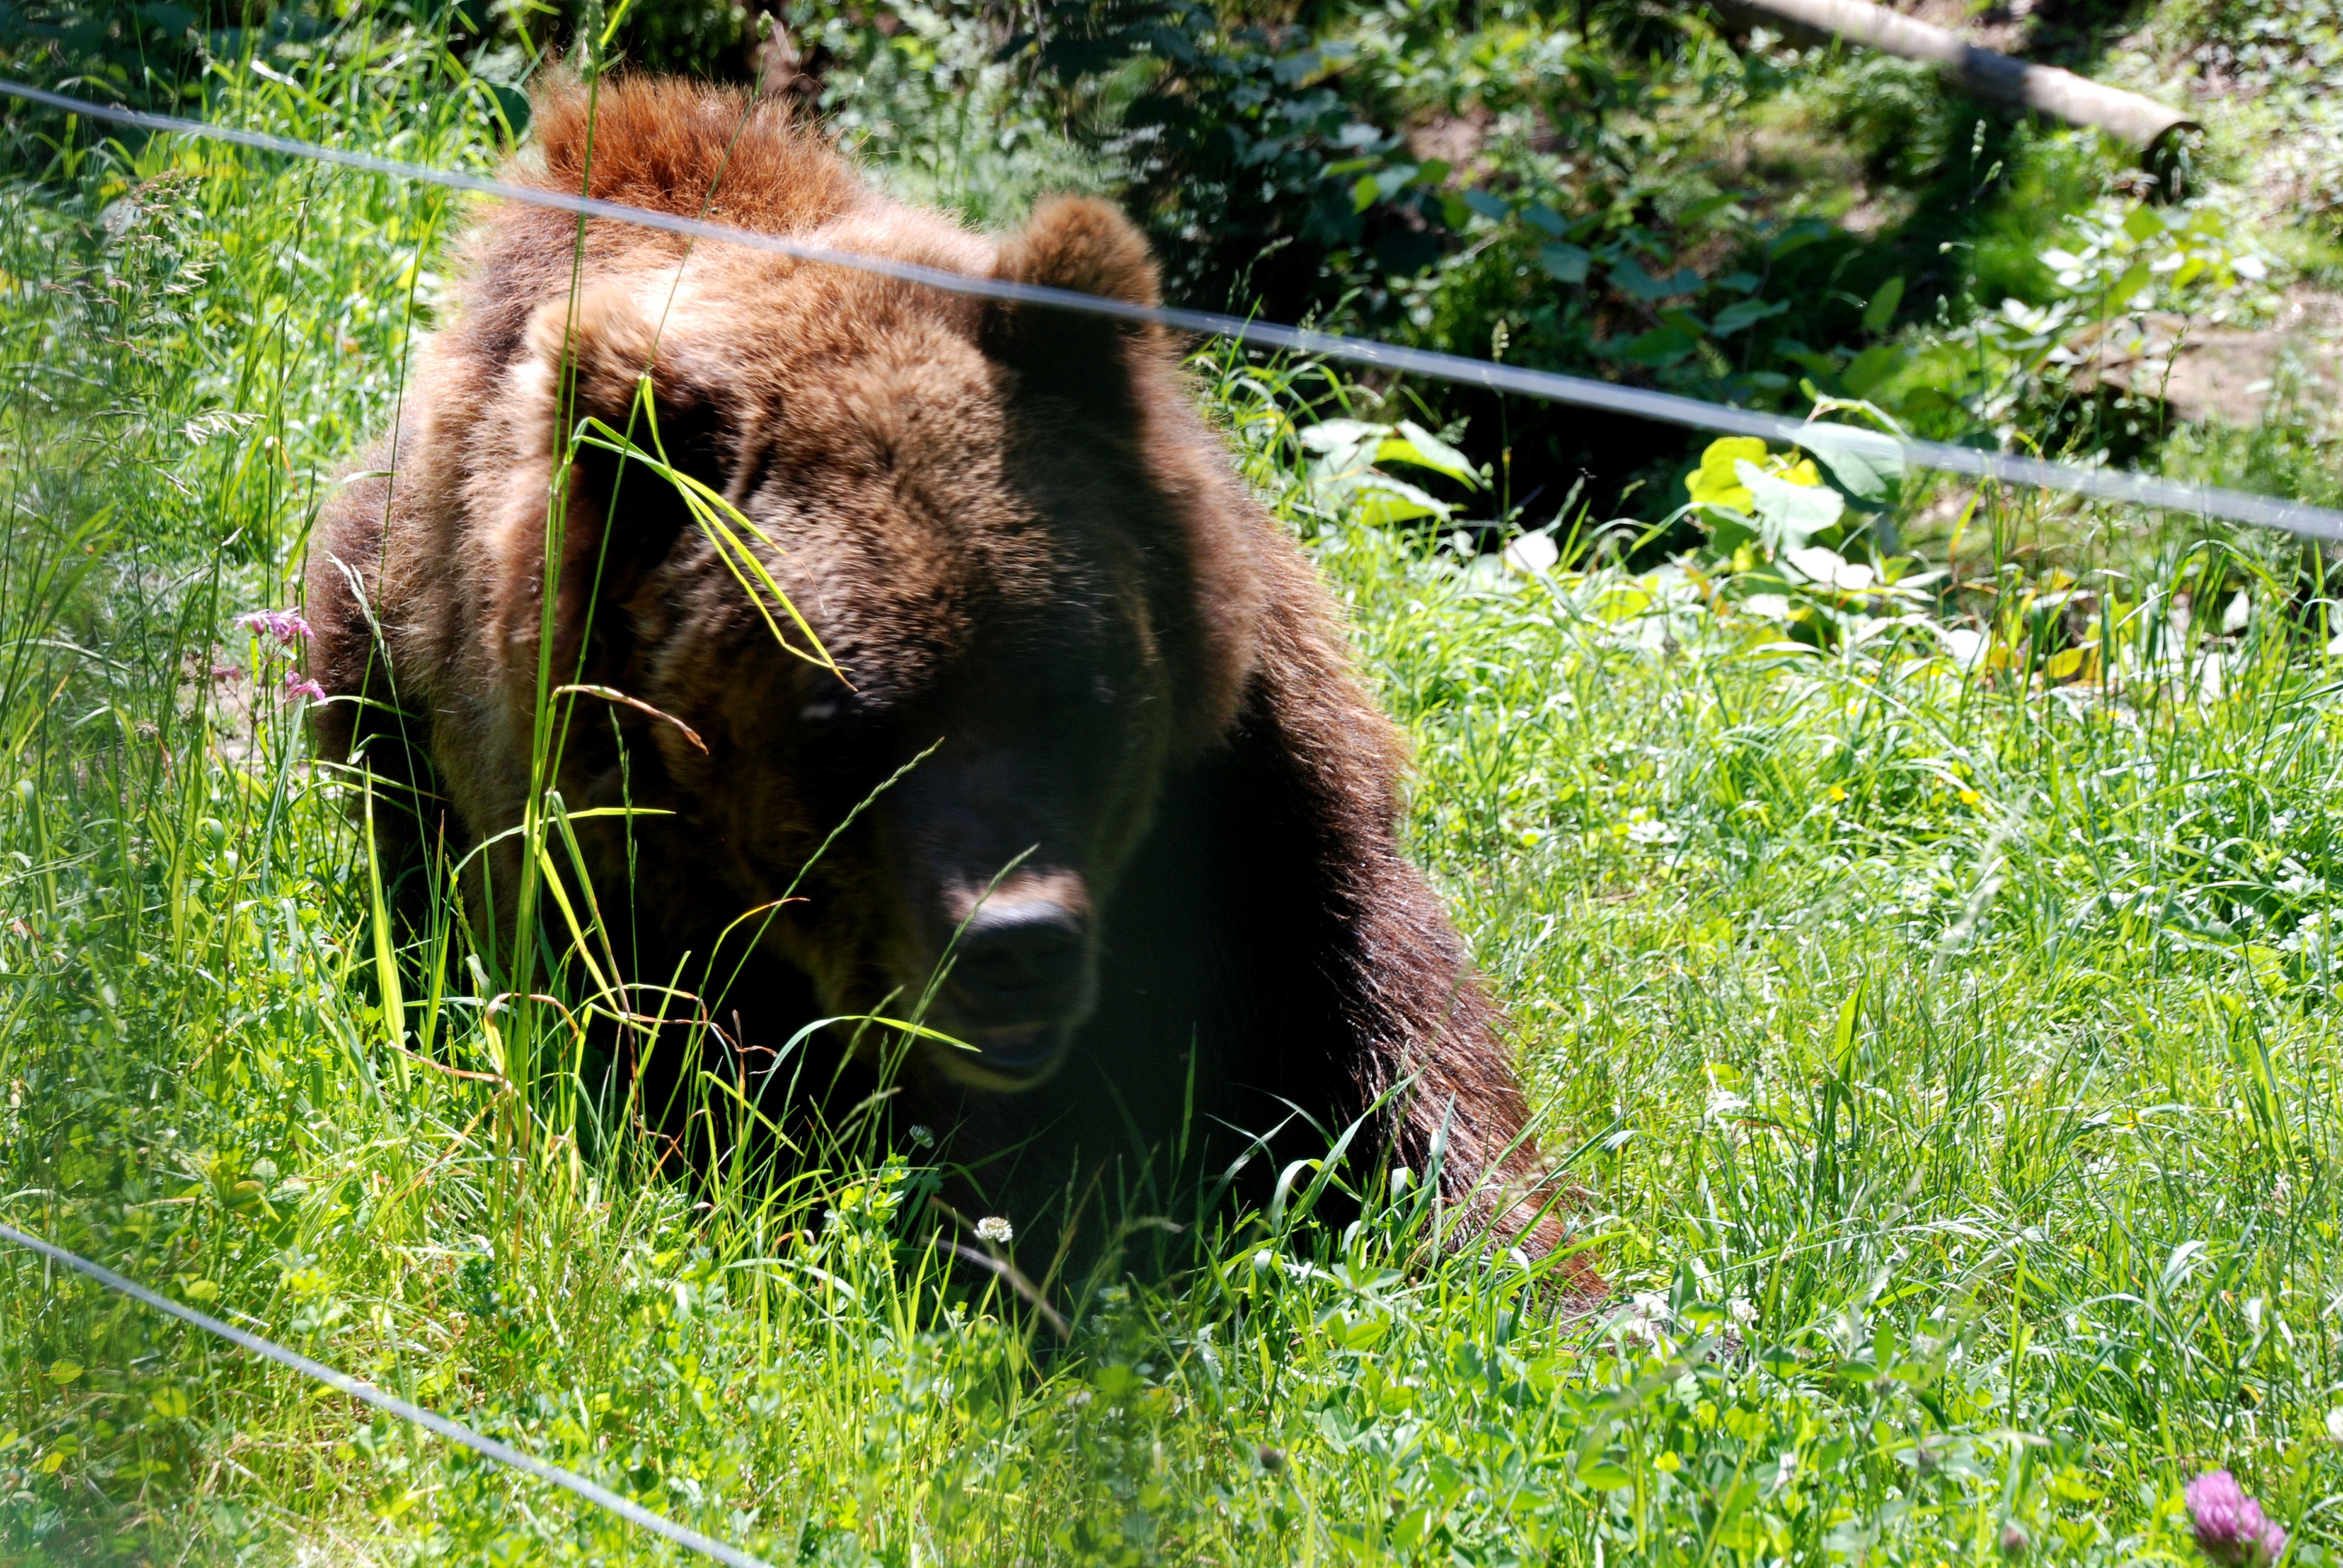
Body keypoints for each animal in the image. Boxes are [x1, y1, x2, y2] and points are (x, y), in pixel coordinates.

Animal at [302, 76, 1565, 1256]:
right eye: (846, 725)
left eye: (1079, 692)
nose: (1018, 943)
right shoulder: (611, 886)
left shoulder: (1251, 789)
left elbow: (1396, 1043)